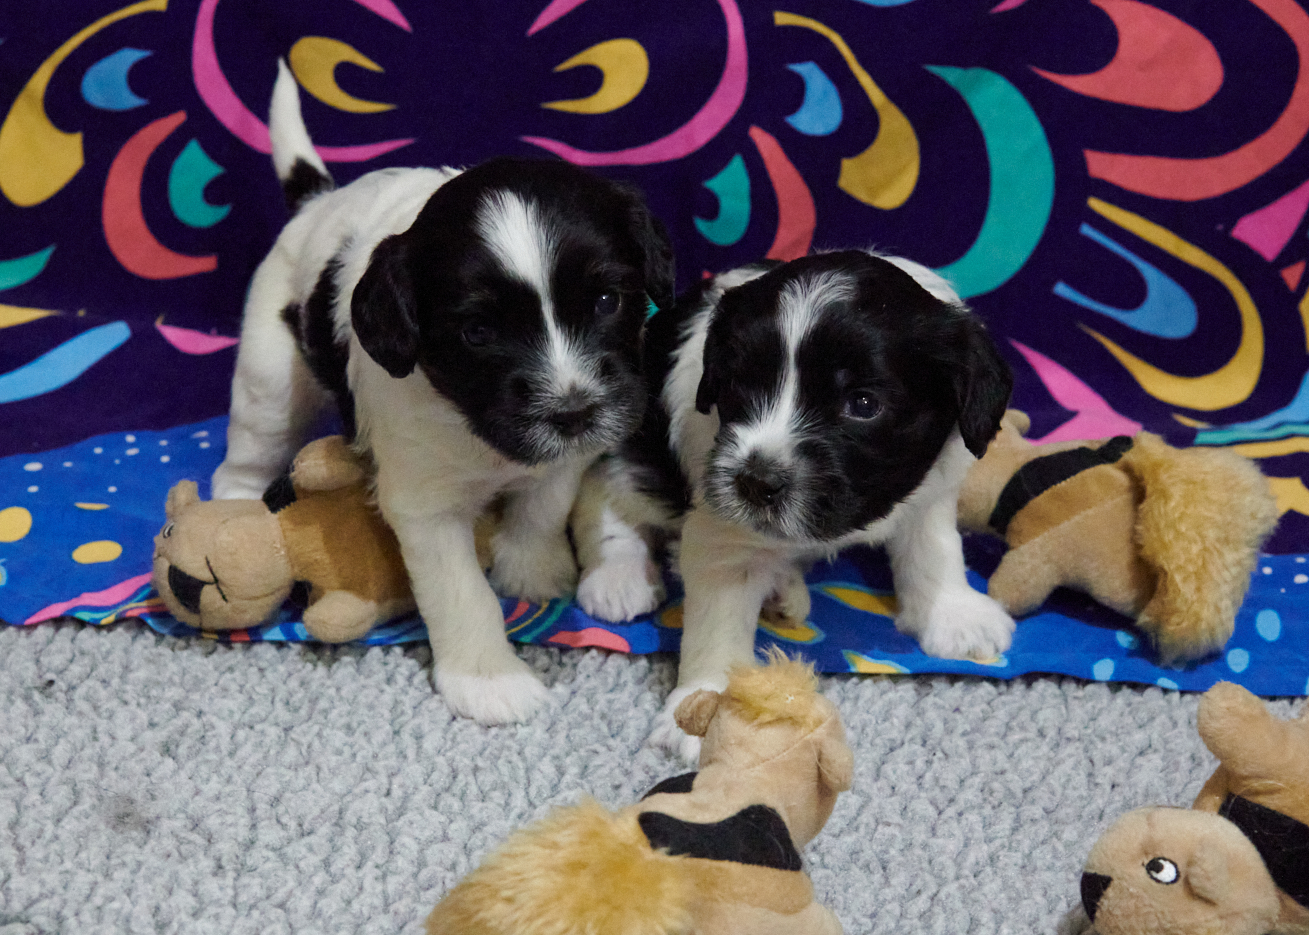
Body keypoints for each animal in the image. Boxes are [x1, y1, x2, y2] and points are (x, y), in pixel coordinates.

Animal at [212, 61, 675, 722]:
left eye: (608, 300)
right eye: (477, 332)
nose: (571, 413)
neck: (475, 427)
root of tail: (317, 201)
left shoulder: (568, 453)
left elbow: (543, 505)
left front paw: (531, 571)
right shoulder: (423, 504)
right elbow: (461, 592)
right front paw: (488, 681)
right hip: (269, 376)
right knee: (250, 449)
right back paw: (234, 506)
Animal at [578, 250, 1015, 759]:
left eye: (863, 404)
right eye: (738, 385)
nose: (756, 482)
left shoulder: (932, 487)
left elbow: (935, 547)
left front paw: (954, 614)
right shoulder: (722, 530)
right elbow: (718, 625)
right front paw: (711, 712)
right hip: (629, 449)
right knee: (605, 488)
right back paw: (617, 576)